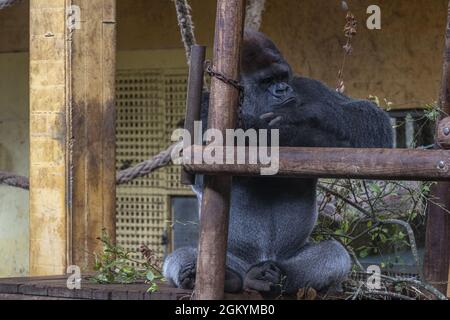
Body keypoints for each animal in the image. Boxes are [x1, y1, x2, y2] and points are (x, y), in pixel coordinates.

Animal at [163, 30, 394, 298]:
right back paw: (211, 275)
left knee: (333, 254)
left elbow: (370, 120)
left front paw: (301, 118)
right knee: (183, 256)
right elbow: (201, 164)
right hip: (231, 258)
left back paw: (274, 276)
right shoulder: (205, 104)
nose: (283, 89)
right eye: (267, 81)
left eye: (283, 77)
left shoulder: (309, 87)